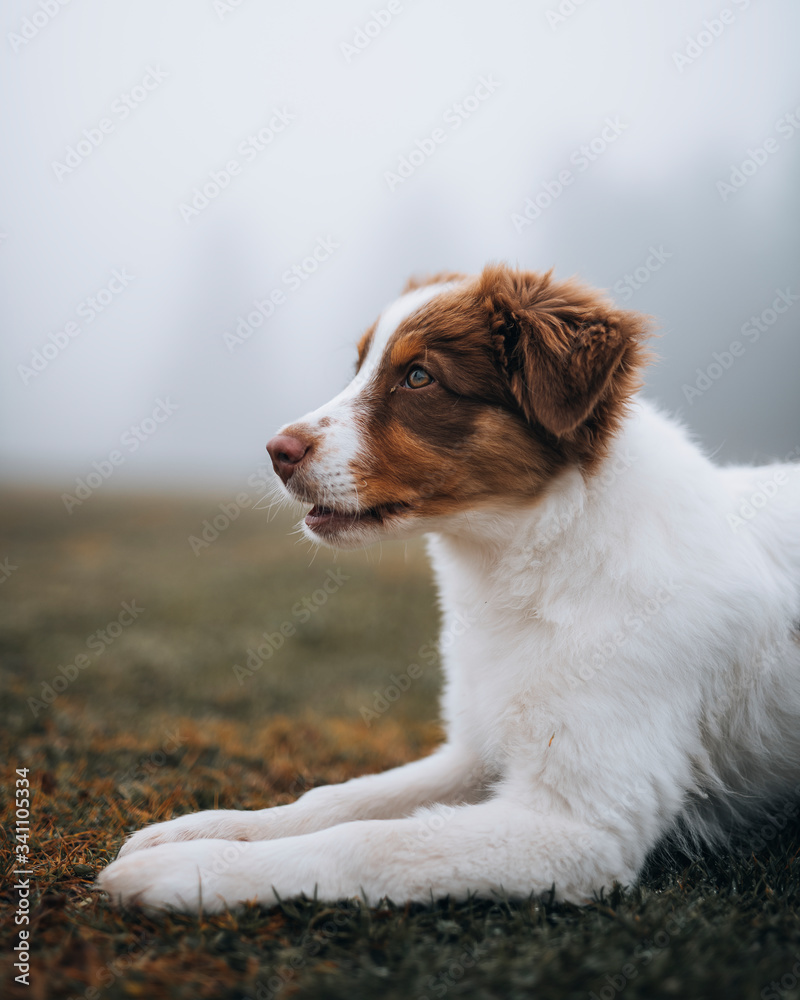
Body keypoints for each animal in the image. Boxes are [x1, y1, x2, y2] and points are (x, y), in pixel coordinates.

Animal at [98, 262, 800, 912]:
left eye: (418, 377)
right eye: (359, 366)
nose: (275, 451)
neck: (533, 564)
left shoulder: (582, 824)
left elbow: (373, 842)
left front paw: (186, 871)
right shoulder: (475, 751)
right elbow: (341, 798)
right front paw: (205, 831)